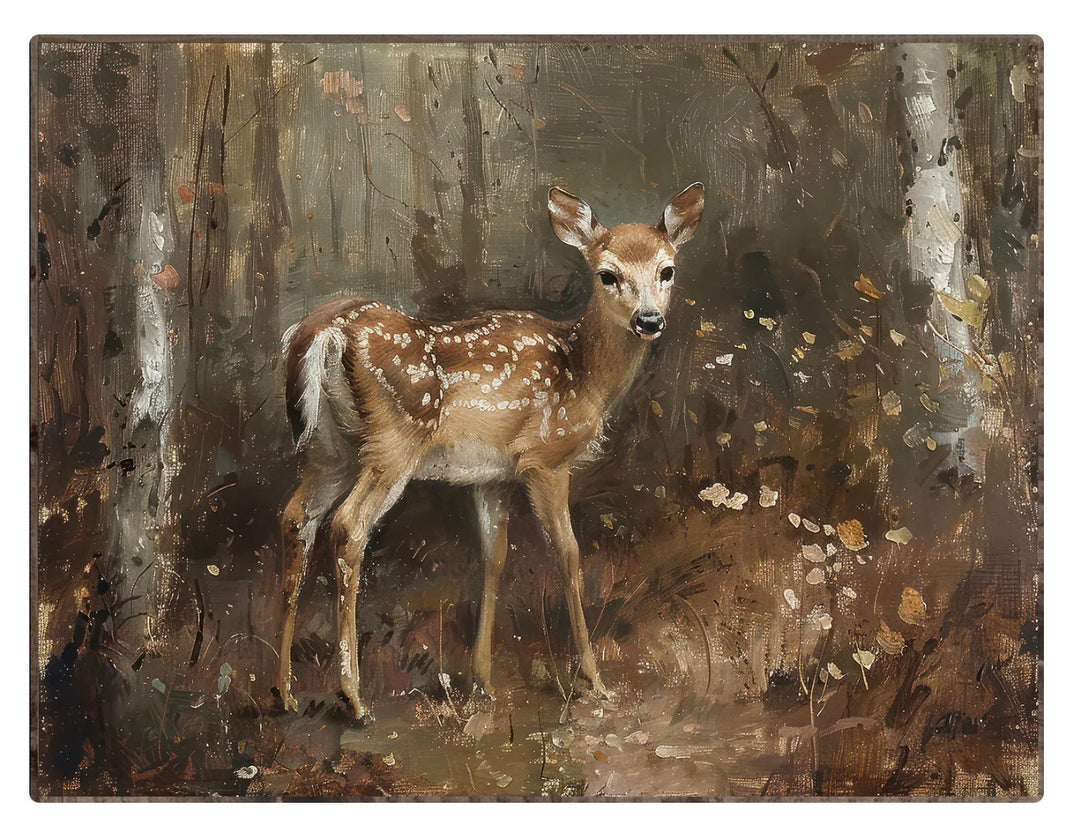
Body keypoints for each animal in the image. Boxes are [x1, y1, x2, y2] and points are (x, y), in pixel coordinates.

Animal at [277, 183, 705, 719]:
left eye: (667, 270)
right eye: (608, 274)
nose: (649, 320)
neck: (584, 376)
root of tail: (322, 332)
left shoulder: (493, 475)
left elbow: (493, 556)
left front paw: (482, 678)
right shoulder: (545, 459)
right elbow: (568, 553)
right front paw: (594, 679)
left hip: (328, 448)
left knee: (297, 518)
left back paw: (284, 692)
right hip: (394, 442)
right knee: (348, 526)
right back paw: (353, 697)